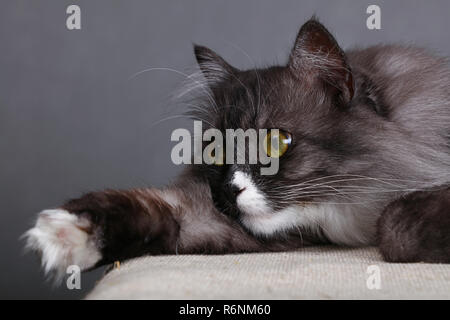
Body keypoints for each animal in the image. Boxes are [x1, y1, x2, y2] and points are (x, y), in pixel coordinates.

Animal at [24, 16, 450, 280]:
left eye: (275, 143)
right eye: (217, 153)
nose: (229, 190)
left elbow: (393, 222)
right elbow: (156, 208)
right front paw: (67, 233)